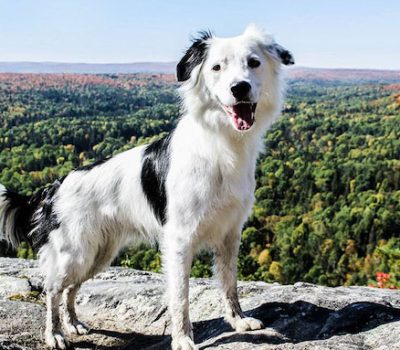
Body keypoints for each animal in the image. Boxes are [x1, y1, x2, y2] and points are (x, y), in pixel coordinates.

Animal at [0, 25, 294, 350]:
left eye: (254, 63)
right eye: (217, 67)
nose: (239, 88)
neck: (221, 144)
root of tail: (55, 187)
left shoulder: (230, 234)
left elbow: (229, 283)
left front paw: (239, 321)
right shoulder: (179, 239)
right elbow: (180, 297)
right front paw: (183, 339)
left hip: (97, 254)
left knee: (70, 289)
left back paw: (74, 324)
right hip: (75, 252)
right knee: (52, 289)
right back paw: (54, 334)